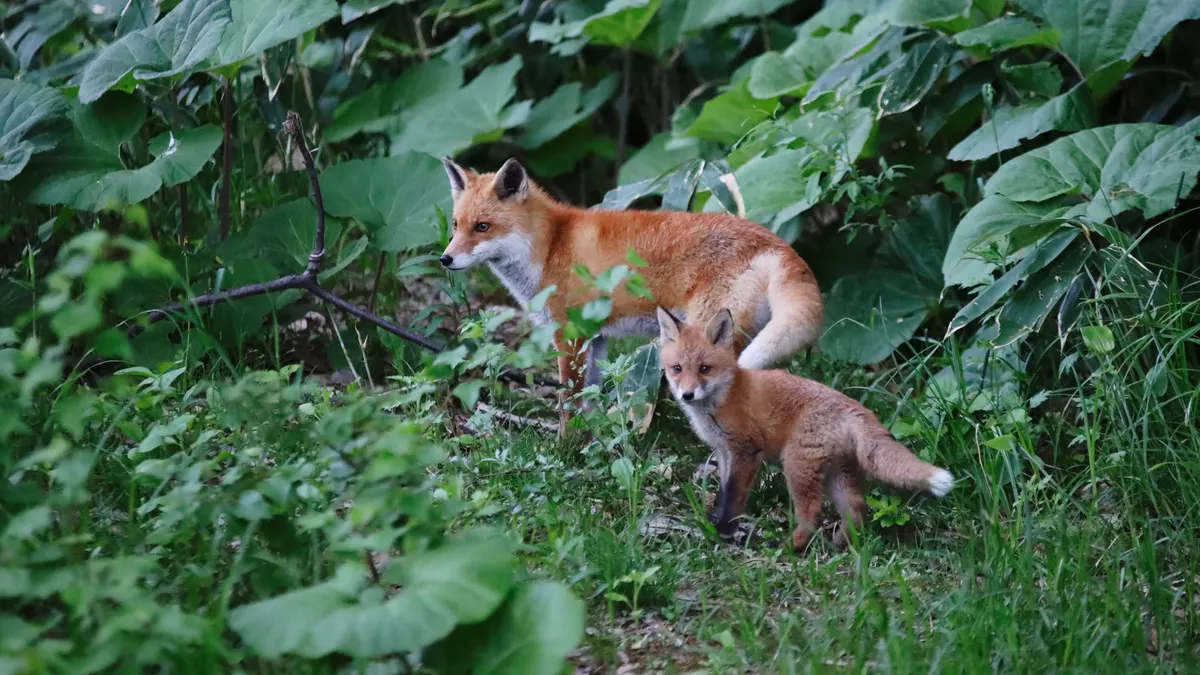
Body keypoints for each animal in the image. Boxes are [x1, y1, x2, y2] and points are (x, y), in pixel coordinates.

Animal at [439, 157, 824, 433]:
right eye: (456, 225)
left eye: (483, 227)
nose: (445, 259)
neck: (549, 249)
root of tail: (773, 241)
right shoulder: (596, 337)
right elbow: (589, 401)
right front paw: (587, 444)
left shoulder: (569, 335)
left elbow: (568, 402)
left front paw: (564, 448)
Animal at [656, 307, 954, 551]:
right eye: (677, 368)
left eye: (705, 368)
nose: (687, 395)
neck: (724, 397)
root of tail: (855, 408)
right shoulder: (724, 451)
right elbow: (723, 492)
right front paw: (717, 520)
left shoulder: (746, 451)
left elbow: (734, 496)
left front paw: (724, 530)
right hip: (837, 472)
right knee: (857, 507)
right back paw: (841, 544)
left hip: (796, 467)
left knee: (812, 515)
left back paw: (789, 547)